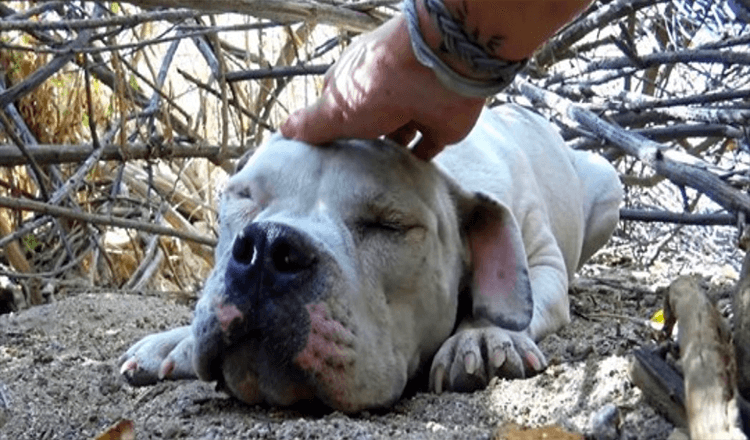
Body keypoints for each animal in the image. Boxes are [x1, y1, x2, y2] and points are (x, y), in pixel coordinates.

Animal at [119, 105, 624, 414]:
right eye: (243, 196)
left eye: (390, 225)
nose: (268, 246)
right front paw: (174, 343)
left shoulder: (543, 262)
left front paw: (482, 336)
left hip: (609, 183)